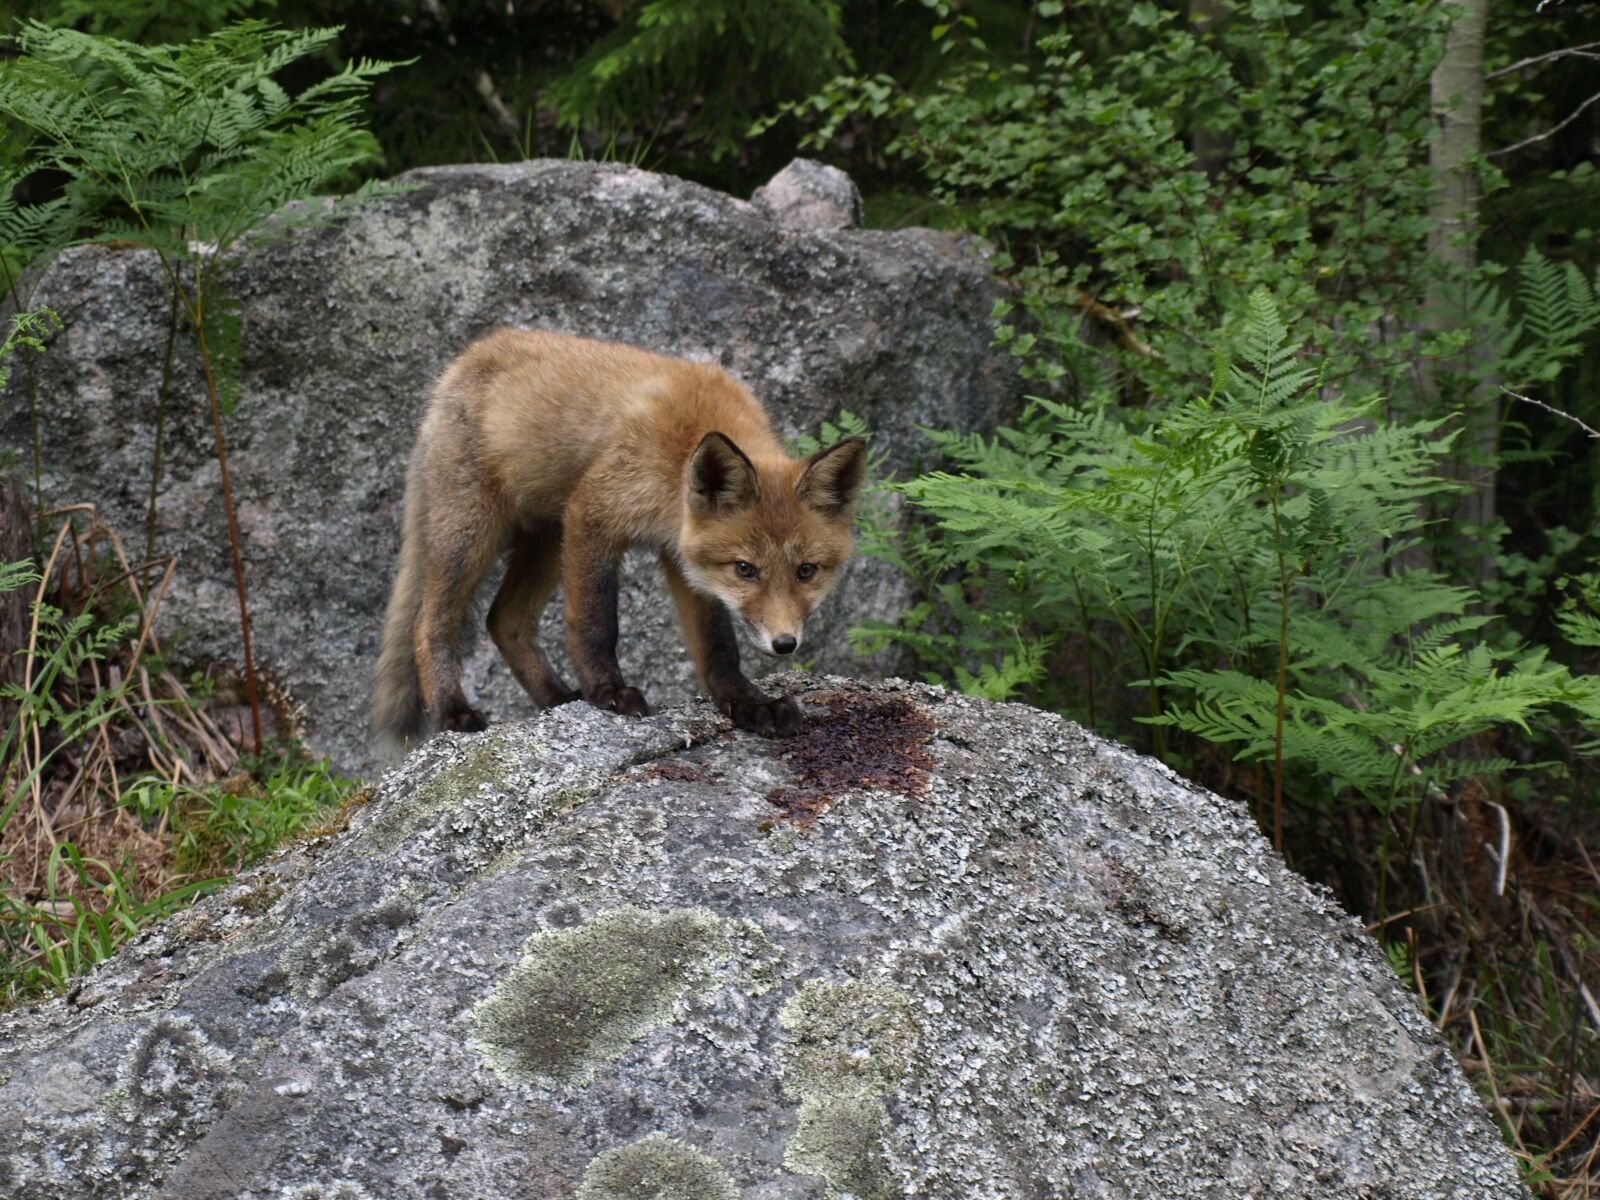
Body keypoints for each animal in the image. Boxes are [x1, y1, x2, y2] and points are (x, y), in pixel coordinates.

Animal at [372, 326, 870, 742]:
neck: (678, 455)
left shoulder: (684, 555)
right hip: (473, 533)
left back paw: (556, 697)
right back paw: (452, 711)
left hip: (546, 541)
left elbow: (717, 646)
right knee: (429, 625)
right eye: (745, 569)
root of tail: (463, 360)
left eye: (806, 571)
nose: (785, 643)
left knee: (503, 619)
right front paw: (607, 690)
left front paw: (749, 703)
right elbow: (596, 622)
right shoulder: (594, 514)